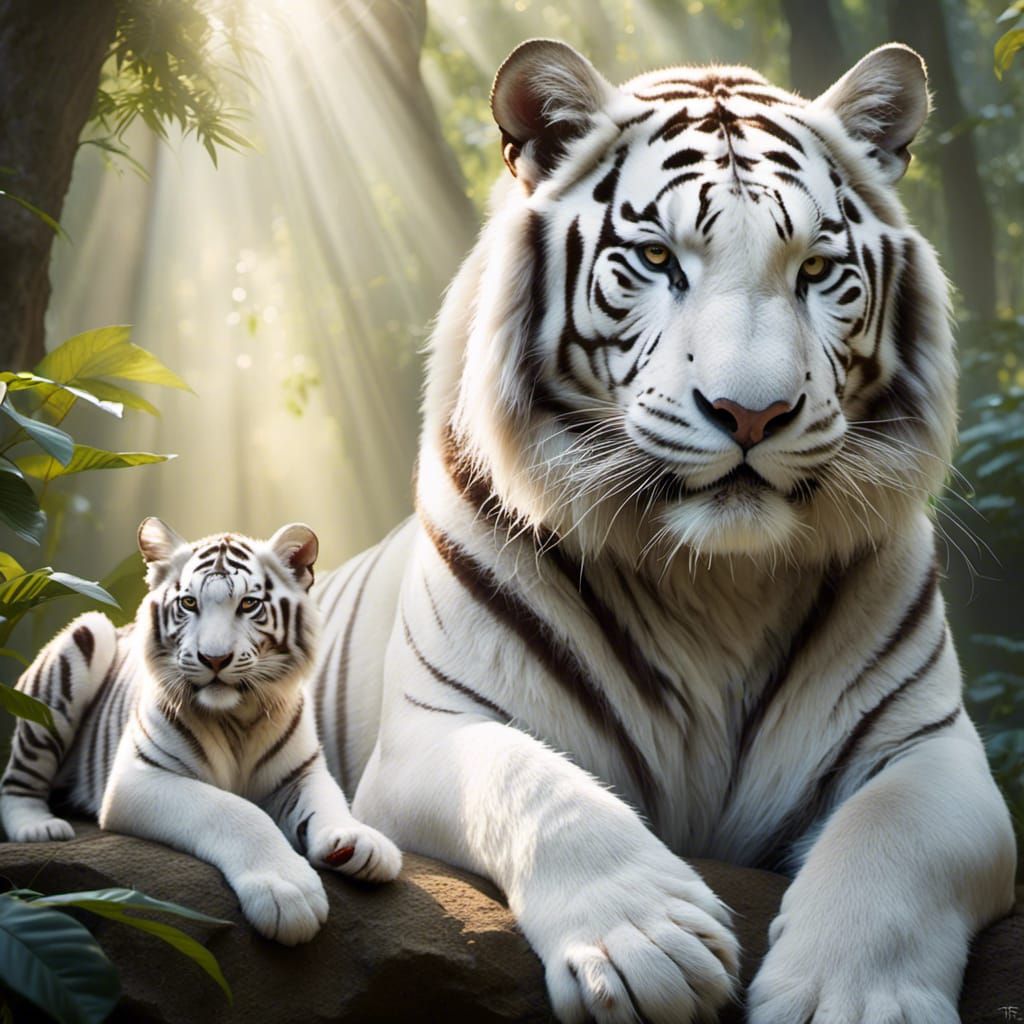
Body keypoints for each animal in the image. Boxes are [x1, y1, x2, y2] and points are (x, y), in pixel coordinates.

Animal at [0, 517, 401, 945]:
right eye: (189, 603)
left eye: (249, 604)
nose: (215, 658)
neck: (238, 718)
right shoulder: (138, 778)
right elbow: (234, 810)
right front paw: (286, 890)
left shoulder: (301, 773)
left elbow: (330, 801)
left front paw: (360, 841)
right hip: (79, 648)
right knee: (18, 778)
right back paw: (38, 827)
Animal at [307, 39, 1017, 1023]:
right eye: (656, 258)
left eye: (814, 270)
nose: (753, 413)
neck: (715, 580)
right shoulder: (433, 729)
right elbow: (537, 787)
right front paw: (648, 947)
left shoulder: (934, 751)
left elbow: (891, 843)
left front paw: (852, 996)